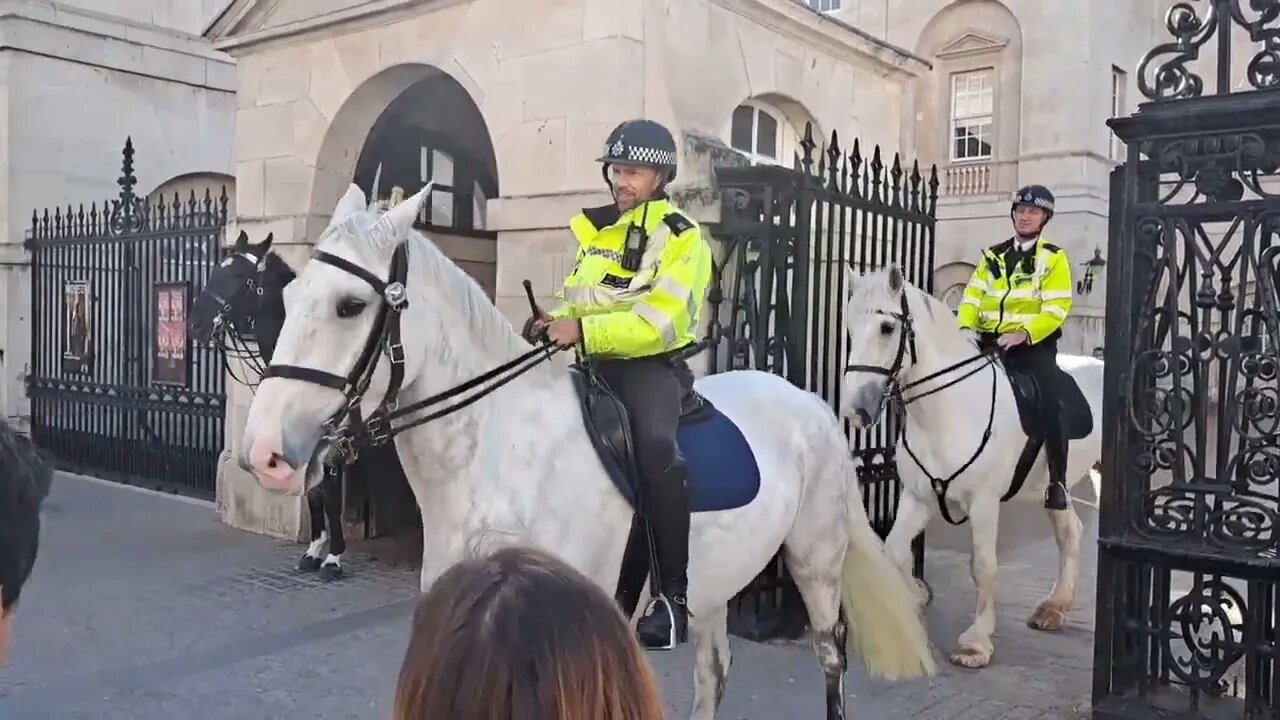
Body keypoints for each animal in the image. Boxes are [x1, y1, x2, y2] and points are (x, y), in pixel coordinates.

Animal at [240, 184, 936, 717]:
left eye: (350, 305)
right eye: (287, 297)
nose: (264, 453)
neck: (498, 453)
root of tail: (809, 402)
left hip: (816, 562)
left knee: (829, 654)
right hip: (717, 581)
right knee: (714, 671)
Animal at [839, 263, 1100, 666]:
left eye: (886, 328)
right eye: (850, 327)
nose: (856, 411)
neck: (949, 411)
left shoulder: (984, 503)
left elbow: (983, 566)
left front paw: (976, 642)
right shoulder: (917, 498)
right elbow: (893, 551)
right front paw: (914, 597)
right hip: (1055, 487)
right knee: (1070, 531)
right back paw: (1055, 607)